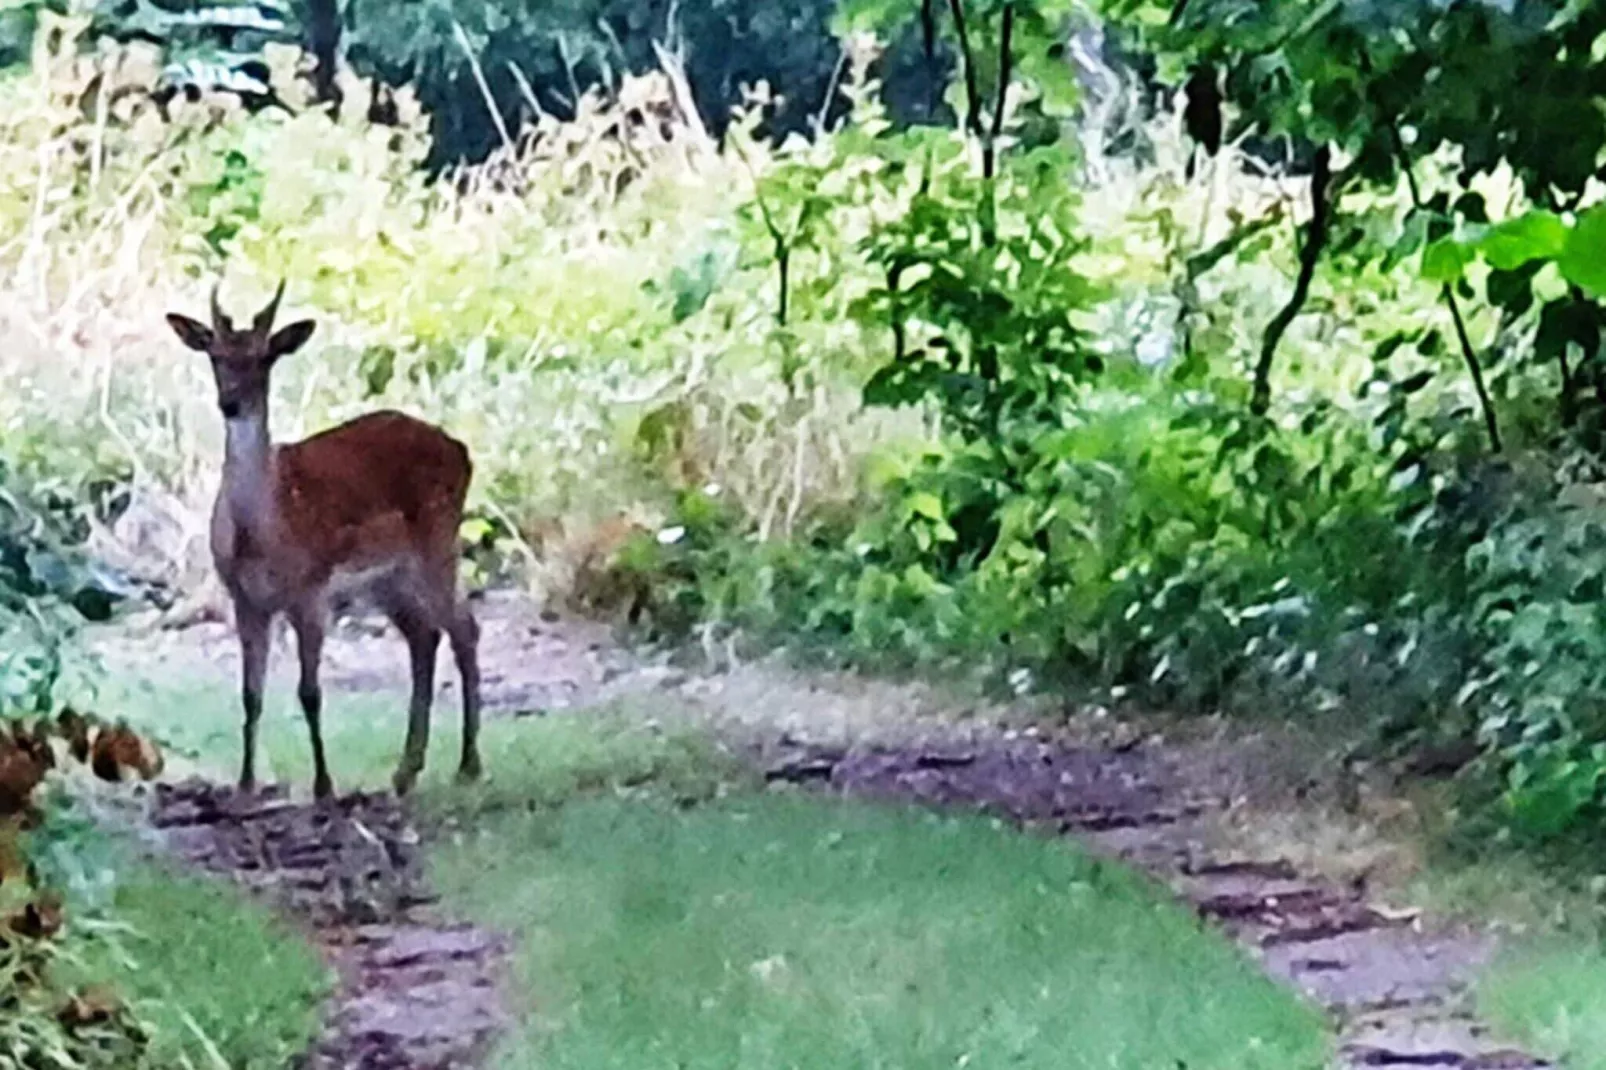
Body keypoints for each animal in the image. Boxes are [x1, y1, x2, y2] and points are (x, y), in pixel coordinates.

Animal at [169, 279, 485, 796]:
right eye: (215, 355)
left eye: (264, 358)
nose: (230, 403)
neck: (262, 532)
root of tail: (462, 449)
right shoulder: (244, 598)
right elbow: (250, 693)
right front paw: (246, 782)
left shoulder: (311, 592)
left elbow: (310, 692)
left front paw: (323, 784)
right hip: (386, 578)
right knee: (425, 634)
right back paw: (406, 770)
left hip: (439, 538)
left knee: (463, 628)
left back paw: (468, 764)